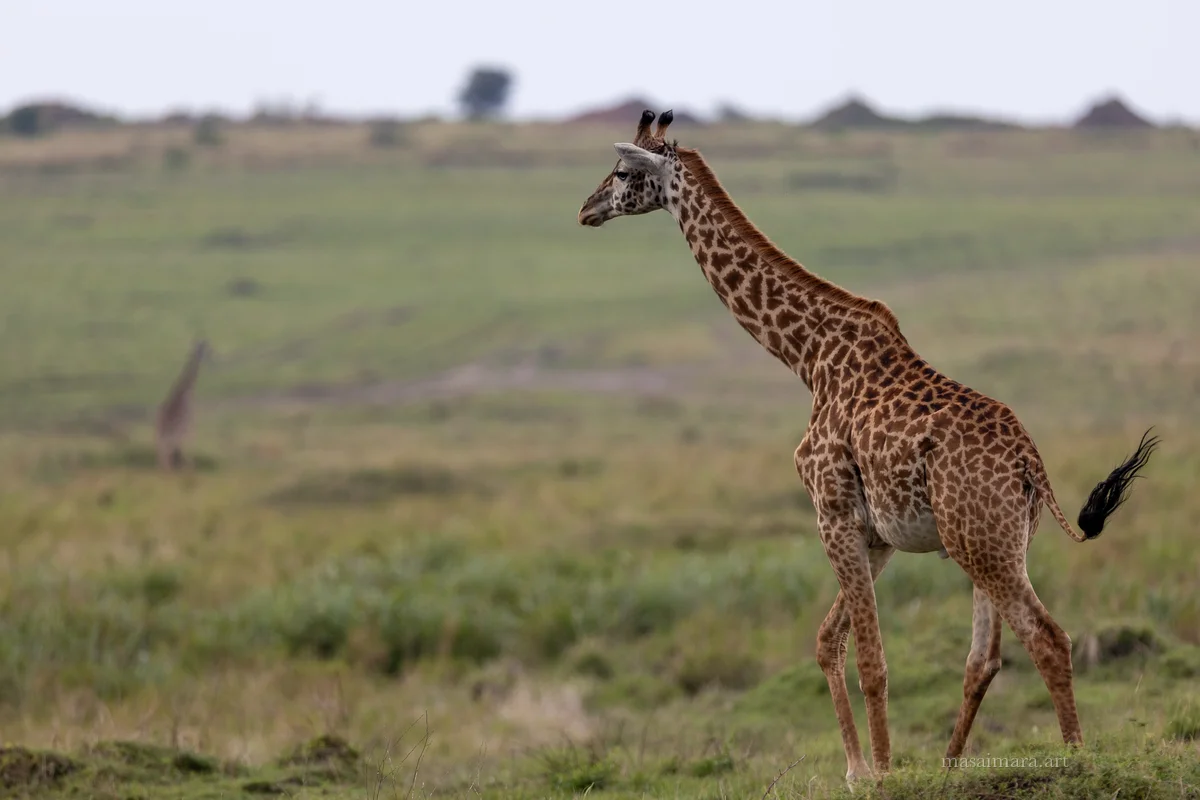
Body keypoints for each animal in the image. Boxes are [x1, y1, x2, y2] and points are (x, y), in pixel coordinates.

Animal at [155, 339, 210, 471]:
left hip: (158, 434)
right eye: (206, 349)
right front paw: (191, 468)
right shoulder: (190, 422)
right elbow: (190, 446)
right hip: (173, 435)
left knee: (163, 455)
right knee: (169, 454)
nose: (209, 357)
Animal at [576, 109, 1159, 781]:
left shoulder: (831, 512)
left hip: (982, 544)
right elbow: (831, 640)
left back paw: (1076, 760)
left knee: (1047, 638)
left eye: (623, 171)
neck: (806, 356)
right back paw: (949, 765)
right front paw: (858, 769)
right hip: (991, 542)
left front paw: (880, 771)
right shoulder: (877, 532)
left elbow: (871, 659)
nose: (586, 209)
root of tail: (1031, 466)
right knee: (983, 659)